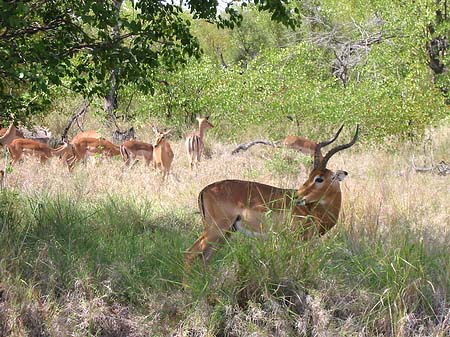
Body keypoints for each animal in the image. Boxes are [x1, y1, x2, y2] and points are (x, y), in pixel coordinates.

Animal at [185, 124, 360, 270]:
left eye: (319, 178)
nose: (297, 195)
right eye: (312, 176)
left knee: (205, 259)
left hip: (224, 234)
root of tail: (204, 190)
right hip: (217, 229)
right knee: (190, 254)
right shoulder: (294, 240)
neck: (314, 211)